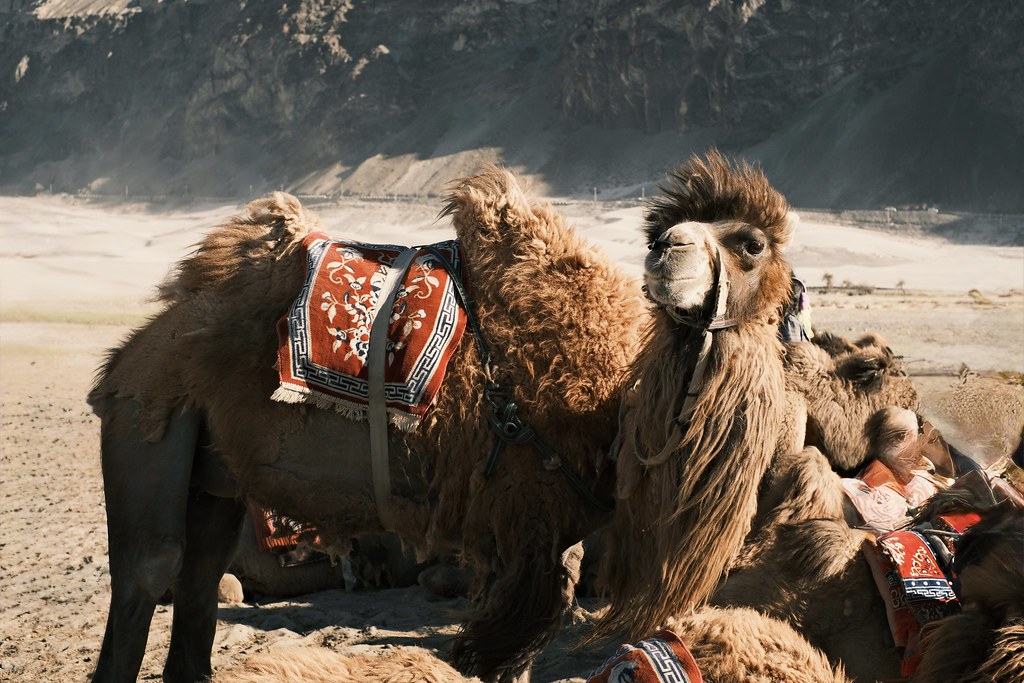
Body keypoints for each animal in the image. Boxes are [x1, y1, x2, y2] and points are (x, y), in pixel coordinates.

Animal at [88, 170, 648, 682]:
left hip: (217, 473)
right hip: (146, 420)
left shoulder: (528, 530)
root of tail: (125, 360)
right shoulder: (520, 512)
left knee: (201, 572)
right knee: (153, 565)